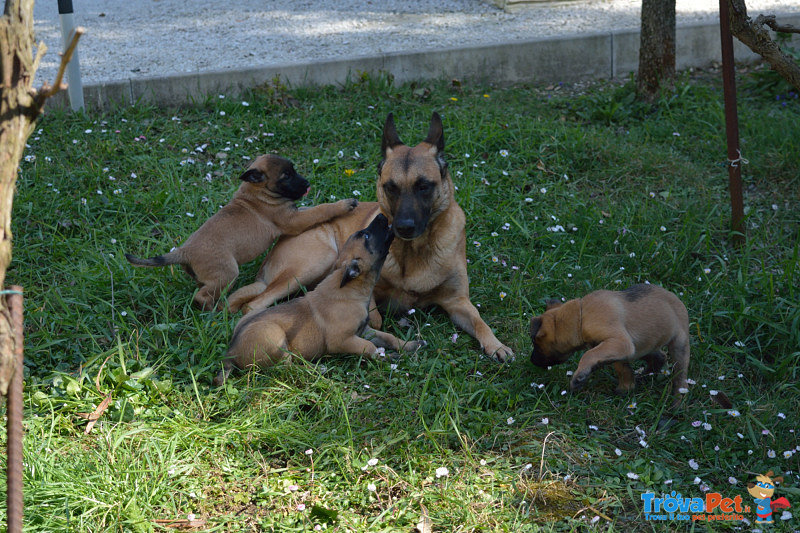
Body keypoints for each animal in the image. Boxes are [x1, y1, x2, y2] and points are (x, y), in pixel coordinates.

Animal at [125, 154, 356, 310]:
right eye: (286, 175)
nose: (307, 183)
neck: (256, 191)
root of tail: (184, 251)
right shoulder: (293, 220)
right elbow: (321, 209)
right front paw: (344, 205)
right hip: (227, 273)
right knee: (203, 296)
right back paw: (214, 311)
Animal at [212, 212, 424, 382]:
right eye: (365, 235)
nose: (381, 216)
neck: (350, 289)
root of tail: (231, 352)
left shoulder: (364, 330)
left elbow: (389, 338)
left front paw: (409, 345)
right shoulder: (343, 340)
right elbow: (370, 347)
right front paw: (387, 357)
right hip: (276, 336)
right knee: (286, 367)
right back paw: (317, 369)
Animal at [227, 112, 512, 362]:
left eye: (424, 186)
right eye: (391, 187)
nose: (403, 227)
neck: (414, 252)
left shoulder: (457, 301)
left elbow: (479, 321)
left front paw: (497, 345)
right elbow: (374, 315)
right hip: (315, 262)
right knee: (253, 305)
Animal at [528, 282, 692, 404]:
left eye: (535, 343)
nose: (532, 361)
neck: (581, 316)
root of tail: (675, 297)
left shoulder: (619, 342)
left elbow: (588, 355)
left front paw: (579, 377)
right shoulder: (615, 348)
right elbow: (622, 367)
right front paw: (627, 387)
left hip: (679, 345)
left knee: (680, 378)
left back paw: (677, 402)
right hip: (643, 346)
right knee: (660, 356)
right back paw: (645, 377)